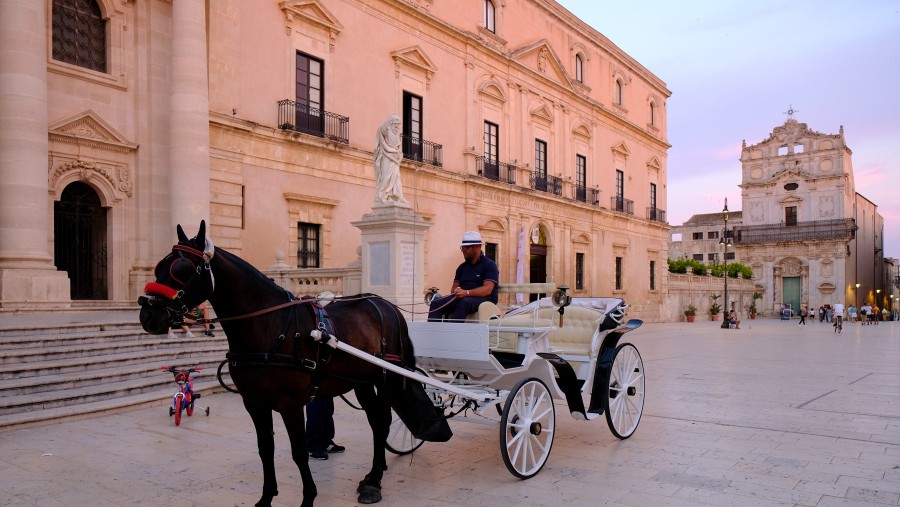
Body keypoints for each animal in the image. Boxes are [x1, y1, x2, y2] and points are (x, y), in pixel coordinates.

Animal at [139, 222, 448, 507]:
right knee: (377, 421)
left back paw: (375, 479)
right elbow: (265, 448)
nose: (147, 315)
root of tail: (387, 304)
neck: (269, 327)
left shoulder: (291, 404)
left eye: (181, 269)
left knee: (382, 421)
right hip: (362, 382)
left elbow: (299, 451)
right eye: (159, 266)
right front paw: (266, 497)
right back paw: (374, 475)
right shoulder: (254, 403)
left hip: (387, 378)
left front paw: (308, 497)